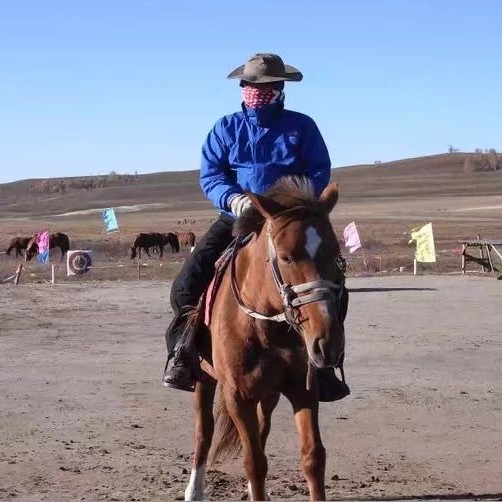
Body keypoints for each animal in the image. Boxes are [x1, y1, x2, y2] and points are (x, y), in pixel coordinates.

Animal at [183, 176, 346, 498]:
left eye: (335, 254)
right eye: (285, 257)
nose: (328, 344)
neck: (266, 327)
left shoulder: (302, 388)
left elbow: (313, 457)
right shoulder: (238, 396)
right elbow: (254, 463)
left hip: (269, 392)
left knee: (262, 427)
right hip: (204, 378)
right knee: (204, 431)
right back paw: (194, 490)